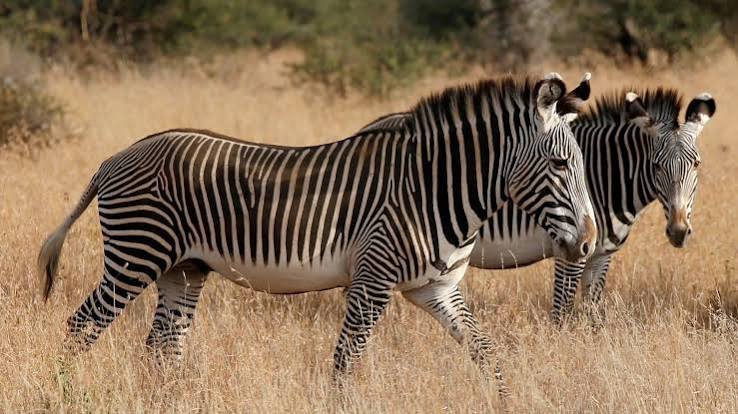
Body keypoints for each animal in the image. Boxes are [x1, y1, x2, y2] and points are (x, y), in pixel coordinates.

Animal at [38, 73, 596, 388]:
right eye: (559, 163)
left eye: (578, 163)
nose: (590, 243)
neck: (431, 189)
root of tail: (115, 158)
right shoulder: (371, 281)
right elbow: (345, 365)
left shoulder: (437, 288)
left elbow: (488, 356)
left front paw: (508, 398)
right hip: (136, 255)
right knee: (80, 326)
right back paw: (61, 391)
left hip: (183, 268)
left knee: (163, 346)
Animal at [358, 87, 716, 323]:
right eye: (656, 166)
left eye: (697, 164)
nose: (678, 232)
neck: (605, 176)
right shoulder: (569, 253)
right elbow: (561, 313)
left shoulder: (600, 256)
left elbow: (593, 314)